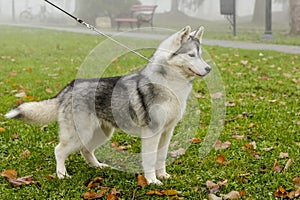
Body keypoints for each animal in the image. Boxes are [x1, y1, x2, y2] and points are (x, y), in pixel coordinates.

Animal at [4, 25, 211, 185]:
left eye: (200, 55)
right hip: (80, 134)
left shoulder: (167, 132)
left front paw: (163, 176)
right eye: (191, 55)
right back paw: (62, 175)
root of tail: (70, 87)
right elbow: (150, 159)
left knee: (86, 150)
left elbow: (161, 157)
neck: (170, 85)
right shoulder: (152, 133)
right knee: (59, 150)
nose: (209, 68)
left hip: (101, 133)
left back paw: (97, 166)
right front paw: (152, 181)